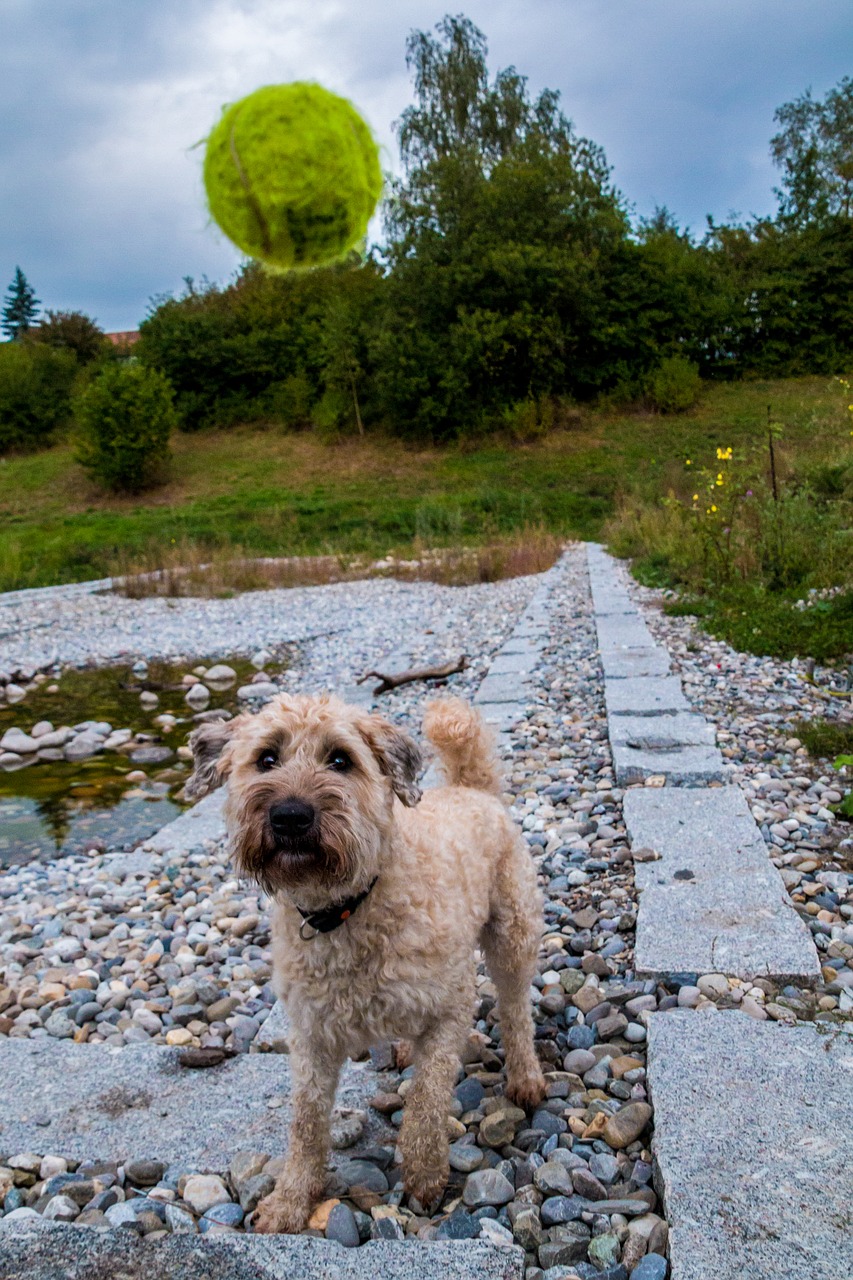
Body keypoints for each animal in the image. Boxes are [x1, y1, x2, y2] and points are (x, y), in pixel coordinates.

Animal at [185, 696, 545, 1233]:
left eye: (341, 759)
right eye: (266, 759)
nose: (290, 816)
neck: (348, 910)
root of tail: (470, 789)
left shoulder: (449, 1009)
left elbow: (426, 1101)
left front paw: (424, 1176)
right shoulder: (310, 1037)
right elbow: (306, 1122)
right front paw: (289, 1200)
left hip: (512, 933)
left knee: (516, 1007)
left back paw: (525, 1078)